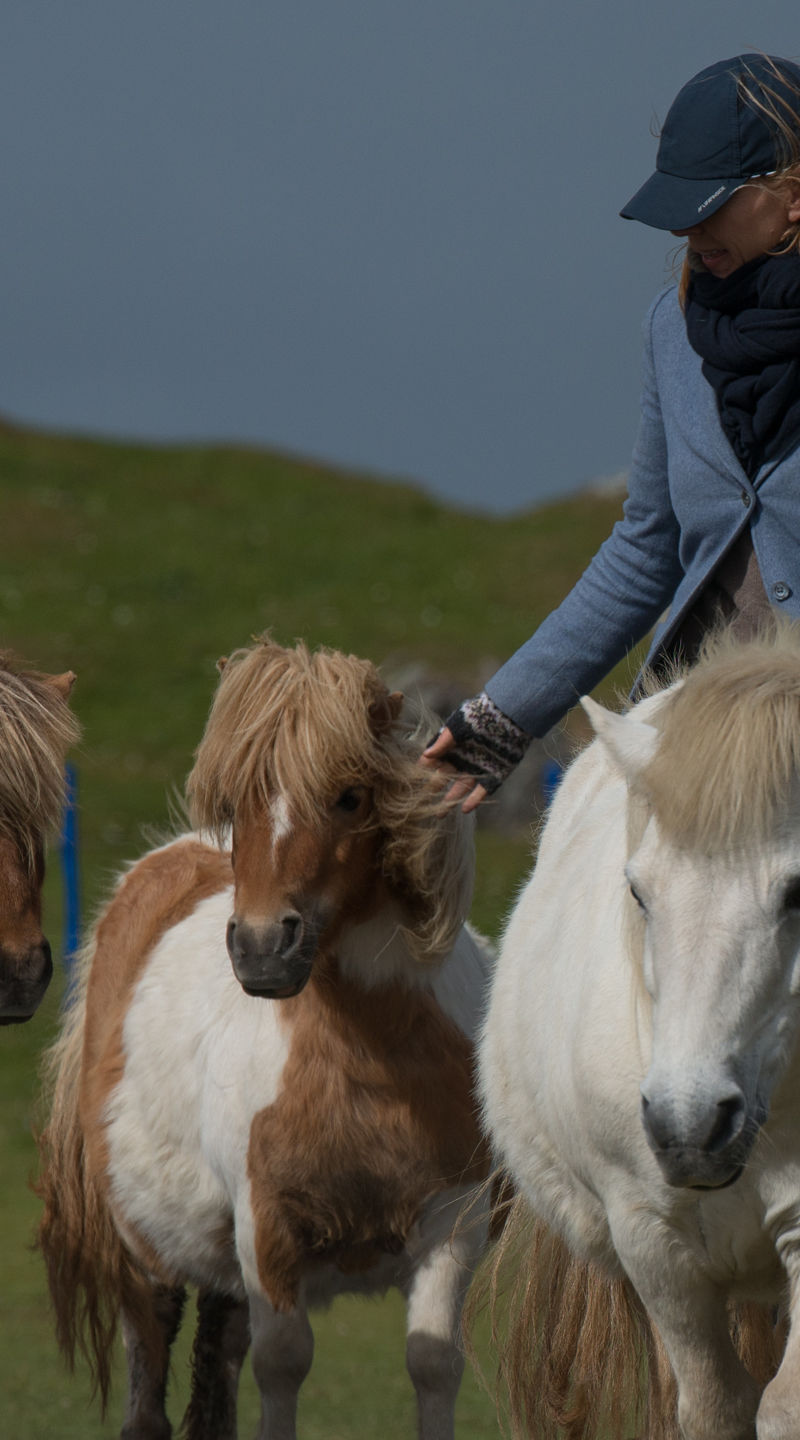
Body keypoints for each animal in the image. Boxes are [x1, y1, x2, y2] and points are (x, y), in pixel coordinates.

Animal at [37, 636, 493, 1440]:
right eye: (239, 801)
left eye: (350, 797)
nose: (259, 949)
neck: (368, 1067)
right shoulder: (268, 1229)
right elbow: (284, 1364)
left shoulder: (454, 1224)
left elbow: (435, 1362)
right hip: (146, 1252)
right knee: (151, 1372)